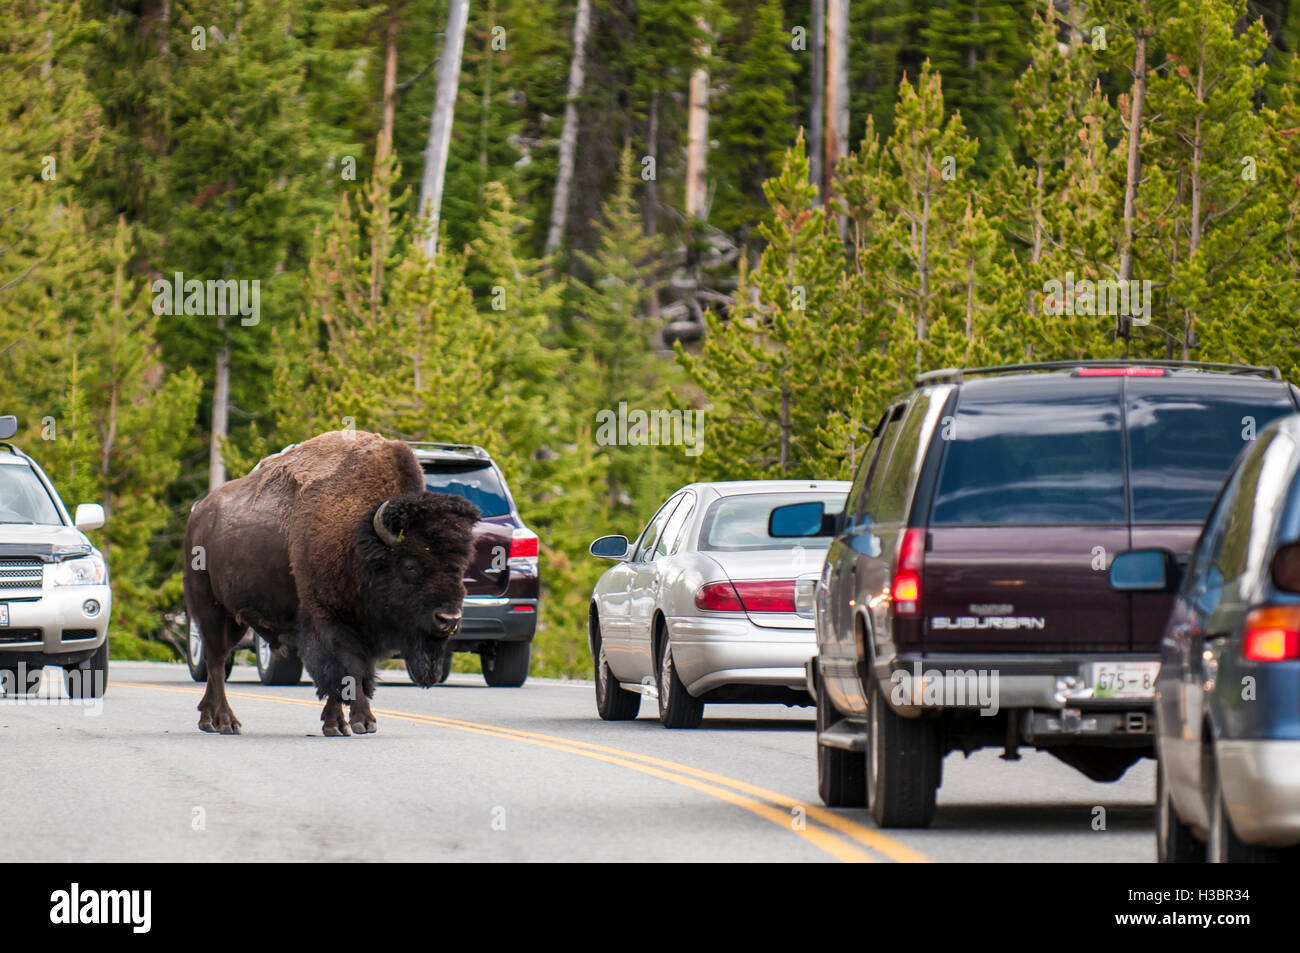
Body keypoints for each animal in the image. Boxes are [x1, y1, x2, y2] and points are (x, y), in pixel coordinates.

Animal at [184, 431, 483, 738]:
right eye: (410, 565)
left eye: (461, 566)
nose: (449, 619)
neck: (357, 534)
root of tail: (199, 513)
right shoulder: (328, 619)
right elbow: (347, 671)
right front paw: (363, 722)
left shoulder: (364, 629)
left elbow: (352, 676)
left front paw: (336, 724)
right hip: (209, 609)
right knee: (216, 661)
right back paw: (225, 721)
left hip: (236, 618)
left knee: (217, 660)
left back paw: (209, 719)